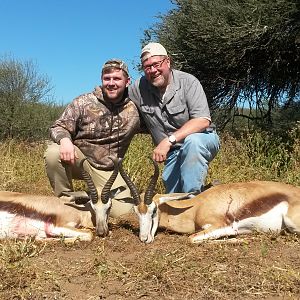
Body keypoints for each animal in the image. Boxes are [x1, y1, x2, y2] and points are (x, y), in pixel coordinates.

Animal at [118, 158, 300, 243]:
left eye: (154, 210)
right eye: (135, 212)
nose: (144, 238)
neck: (195, 207)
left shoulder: (223, 226)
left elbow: (192, 238)